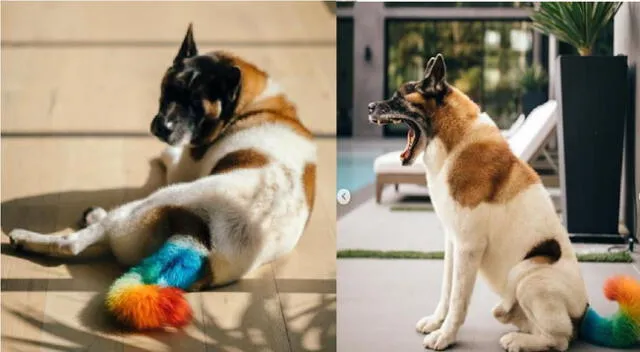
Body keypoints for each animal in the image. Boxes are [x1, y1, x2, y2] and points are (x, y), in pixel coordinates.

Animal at [8, 24, 318, 288]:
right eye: (167, 89)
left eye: (196, 106)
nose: (162, 126)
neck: (255, 104)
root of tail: (198, 240)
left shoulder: (185, 165)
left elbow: (174, 157)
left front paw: (168, 151)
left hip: (149, 203)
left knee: (75, 242)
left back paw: (38, 234)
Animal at [368, 53, 636, 350]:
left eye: (398, 97)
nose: (369, 107)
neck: (455, 141)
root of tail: (585, 313)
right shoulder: (453, 243)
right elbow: (447, 289)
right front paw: (436, 322)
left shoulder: (468, 247)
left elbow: (458, 300)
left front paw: (446, 336)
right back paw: (510, 318)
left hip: (529, 275)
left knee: (559, 338)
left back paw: (518, 340)